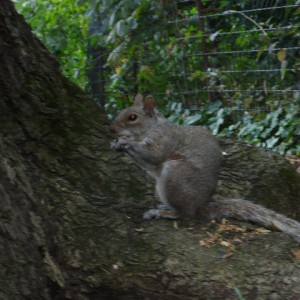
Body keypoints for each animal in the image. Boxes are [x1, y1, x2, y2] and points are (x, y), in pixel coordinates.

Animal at [110, 95, 300, 243]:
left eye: (132, 117)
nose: (112, 129)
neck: (150, 128)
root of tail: (200, 206)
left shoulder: (165, 140)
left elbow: (154, 155)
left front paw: (125, 141)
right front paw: (117, 144)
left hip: (175, 177)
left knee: (185, 214)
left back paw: (163, 213)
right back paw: (165, 206)